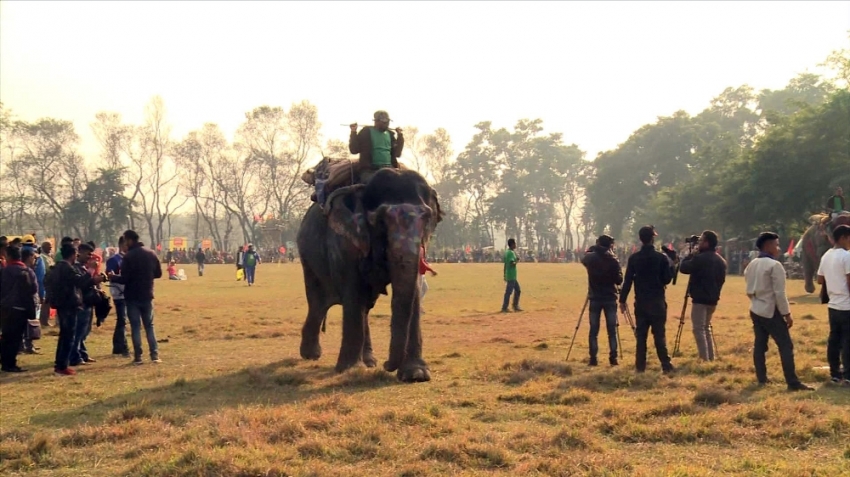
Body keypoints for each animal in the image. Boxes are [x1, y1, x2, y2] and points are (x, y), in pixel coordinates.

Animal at [294, 169, 440, 382]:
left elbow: (415, 289)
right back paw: (311, 355)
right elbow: (353, 291)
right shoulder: (343, 241)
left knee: (364, 306)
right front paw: (349, 370)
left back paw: (369, 361)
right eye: (380, 221)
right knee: (318, 302)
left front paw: (416, 375)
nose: (387, 365)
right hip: (307, 256)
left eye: (427, 218)